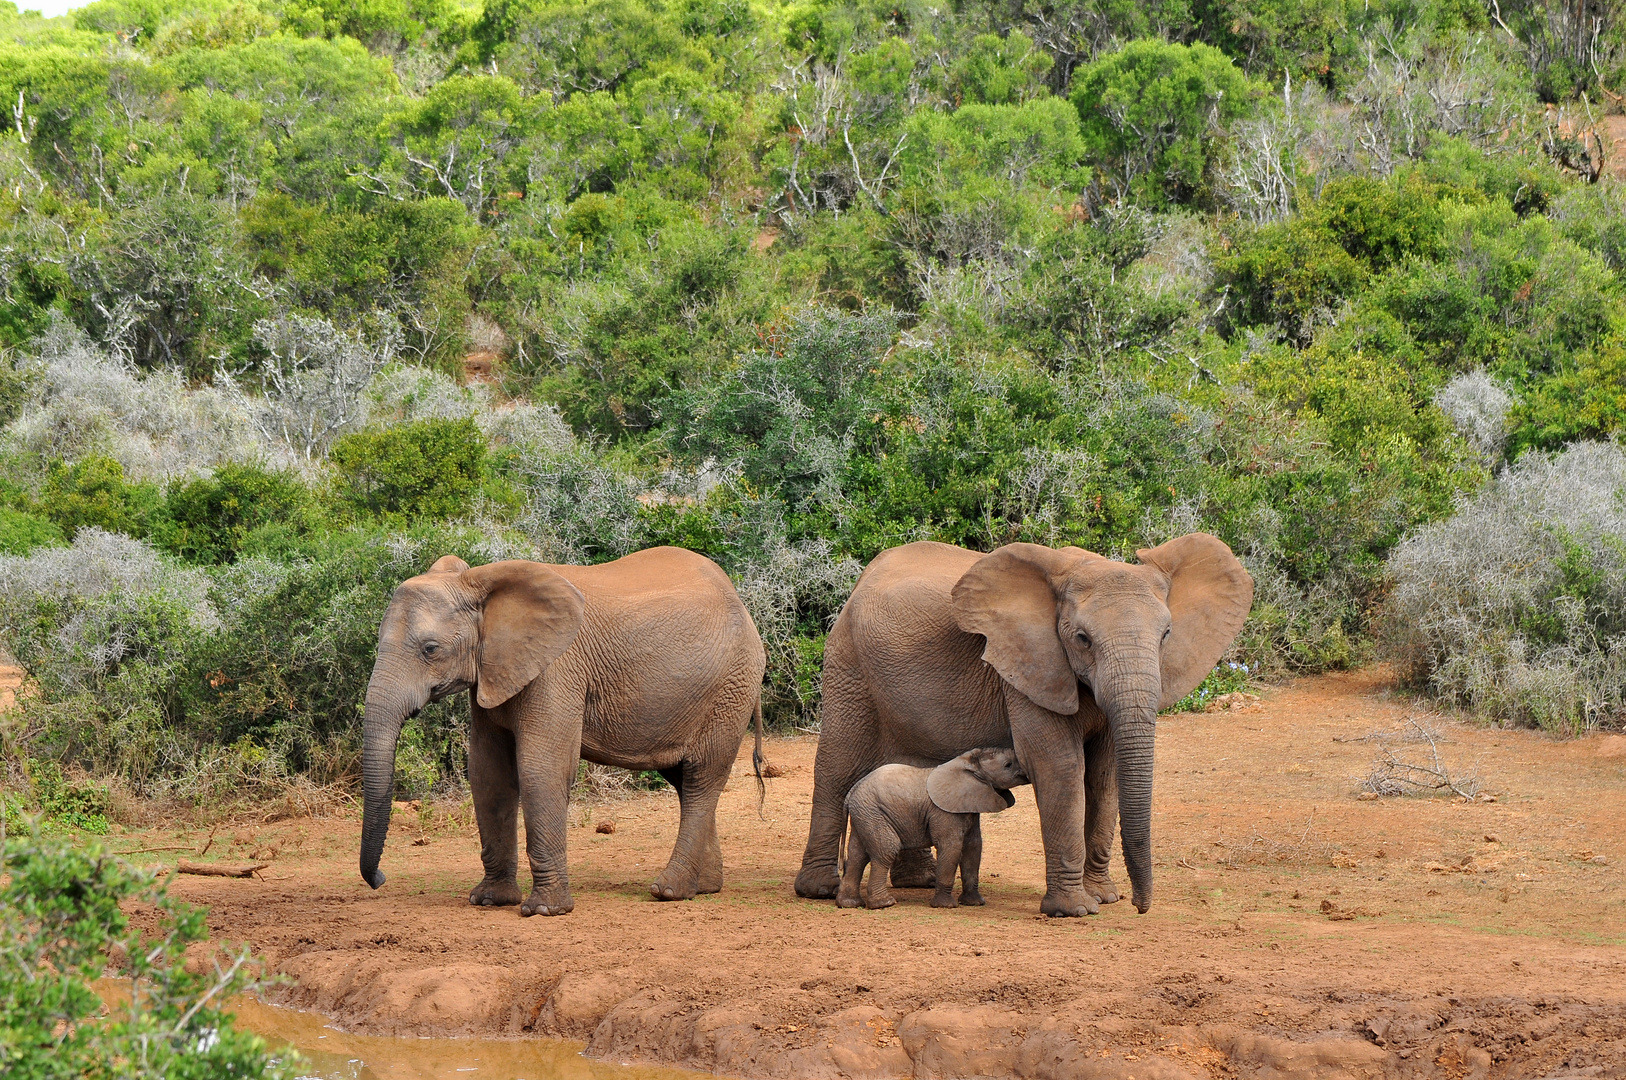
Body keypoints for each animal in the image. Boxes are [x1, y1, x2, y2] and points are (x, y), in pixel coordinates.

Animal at [359, 549, 764, 910]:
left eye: (430, 649)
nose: (379, 879)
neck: (479, 583)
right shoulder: (494, 671)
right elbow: (488, 773)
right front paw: (489, 901)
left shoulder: (556, 671)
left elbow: (541, 769)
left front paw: (544, 910)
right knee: (682, 779)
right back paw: (704, 886)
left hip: (730, 689)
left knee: (701, 778)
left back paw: (669, 890)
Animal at [839, 748, 1027, 904]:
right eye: (1008, 765)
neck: (969, 764)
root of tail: (851, 793)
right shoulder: (944, 811)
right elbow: (951, 846)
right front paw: (946, 905)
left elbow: (973, 846)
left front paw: (975, 903)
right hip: (874, 812)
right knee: (886, 850)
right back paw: (884, 903)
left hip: (865, 814)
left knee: (857, 855)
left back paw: (850, 904)